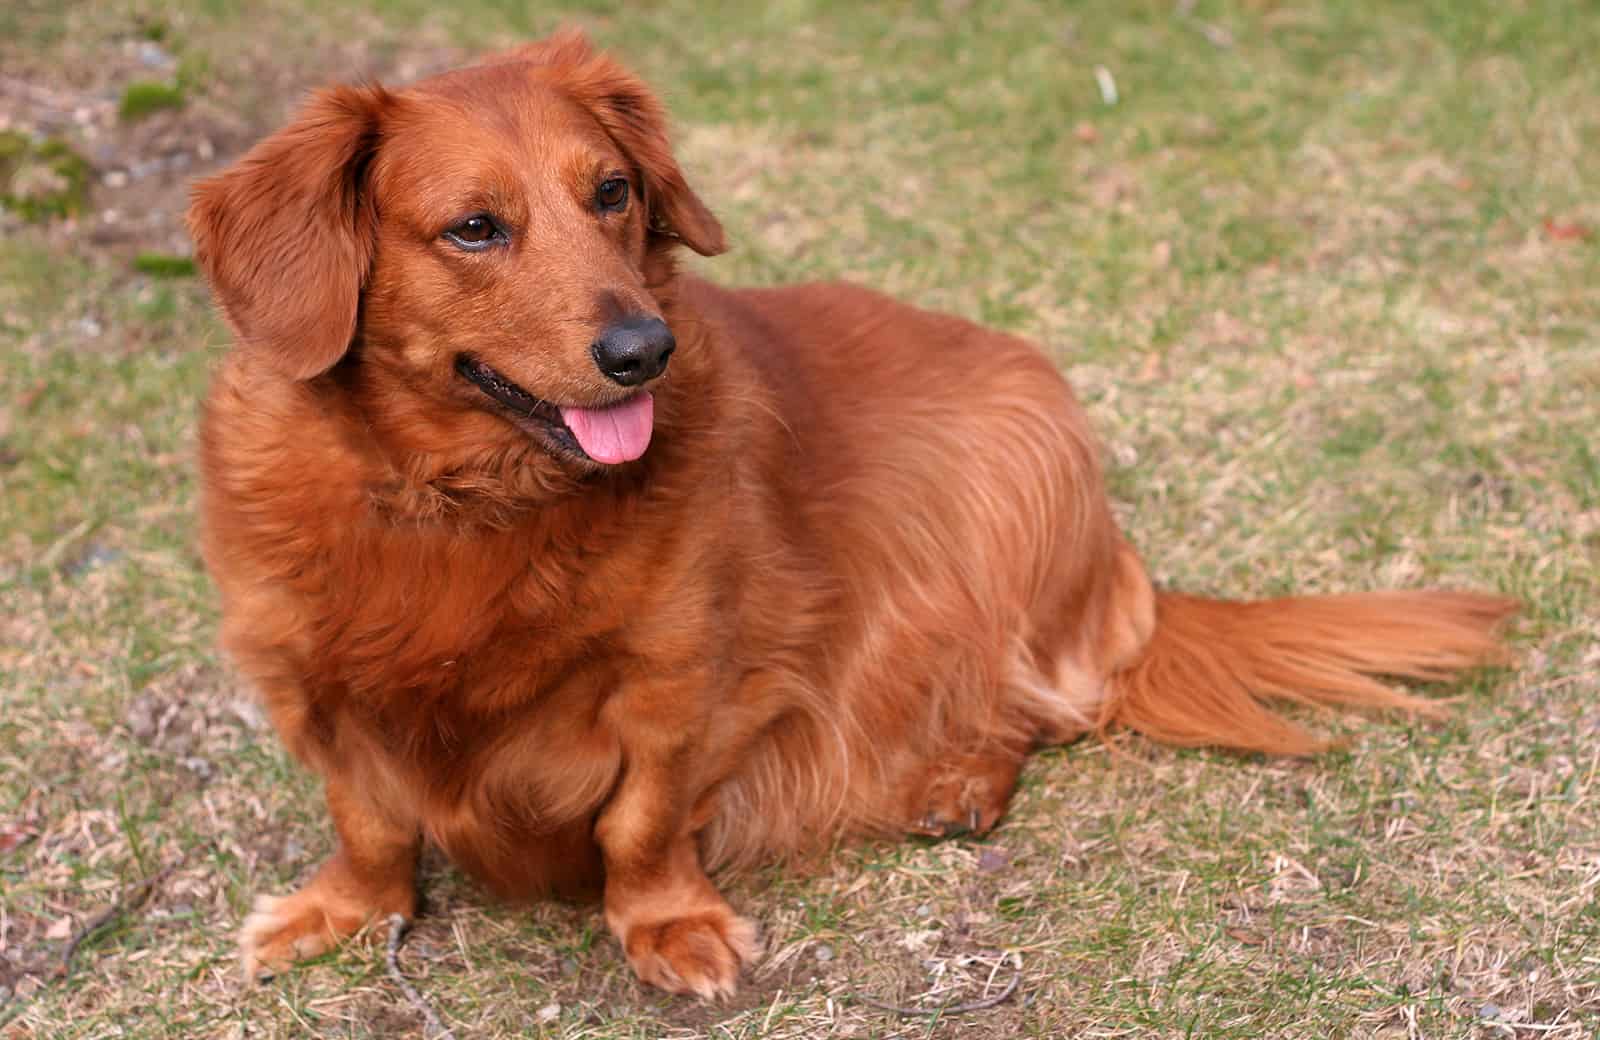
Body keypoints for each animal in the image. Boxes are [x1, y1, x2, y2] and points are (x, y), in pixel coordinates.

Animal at [187, 28, 1510, 992]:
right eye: (473, 226)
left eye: (611, 191)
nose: (644, 349)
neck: (465, 506)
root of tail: (1119, 562)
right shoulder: (307, 681)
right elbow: (369, 818)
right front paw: (346, 908)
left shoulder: (681, 676)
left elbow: (639, 822)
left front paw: (666, 923)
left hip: (993, 512)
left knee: (1045, 702)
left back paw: (960, 776)